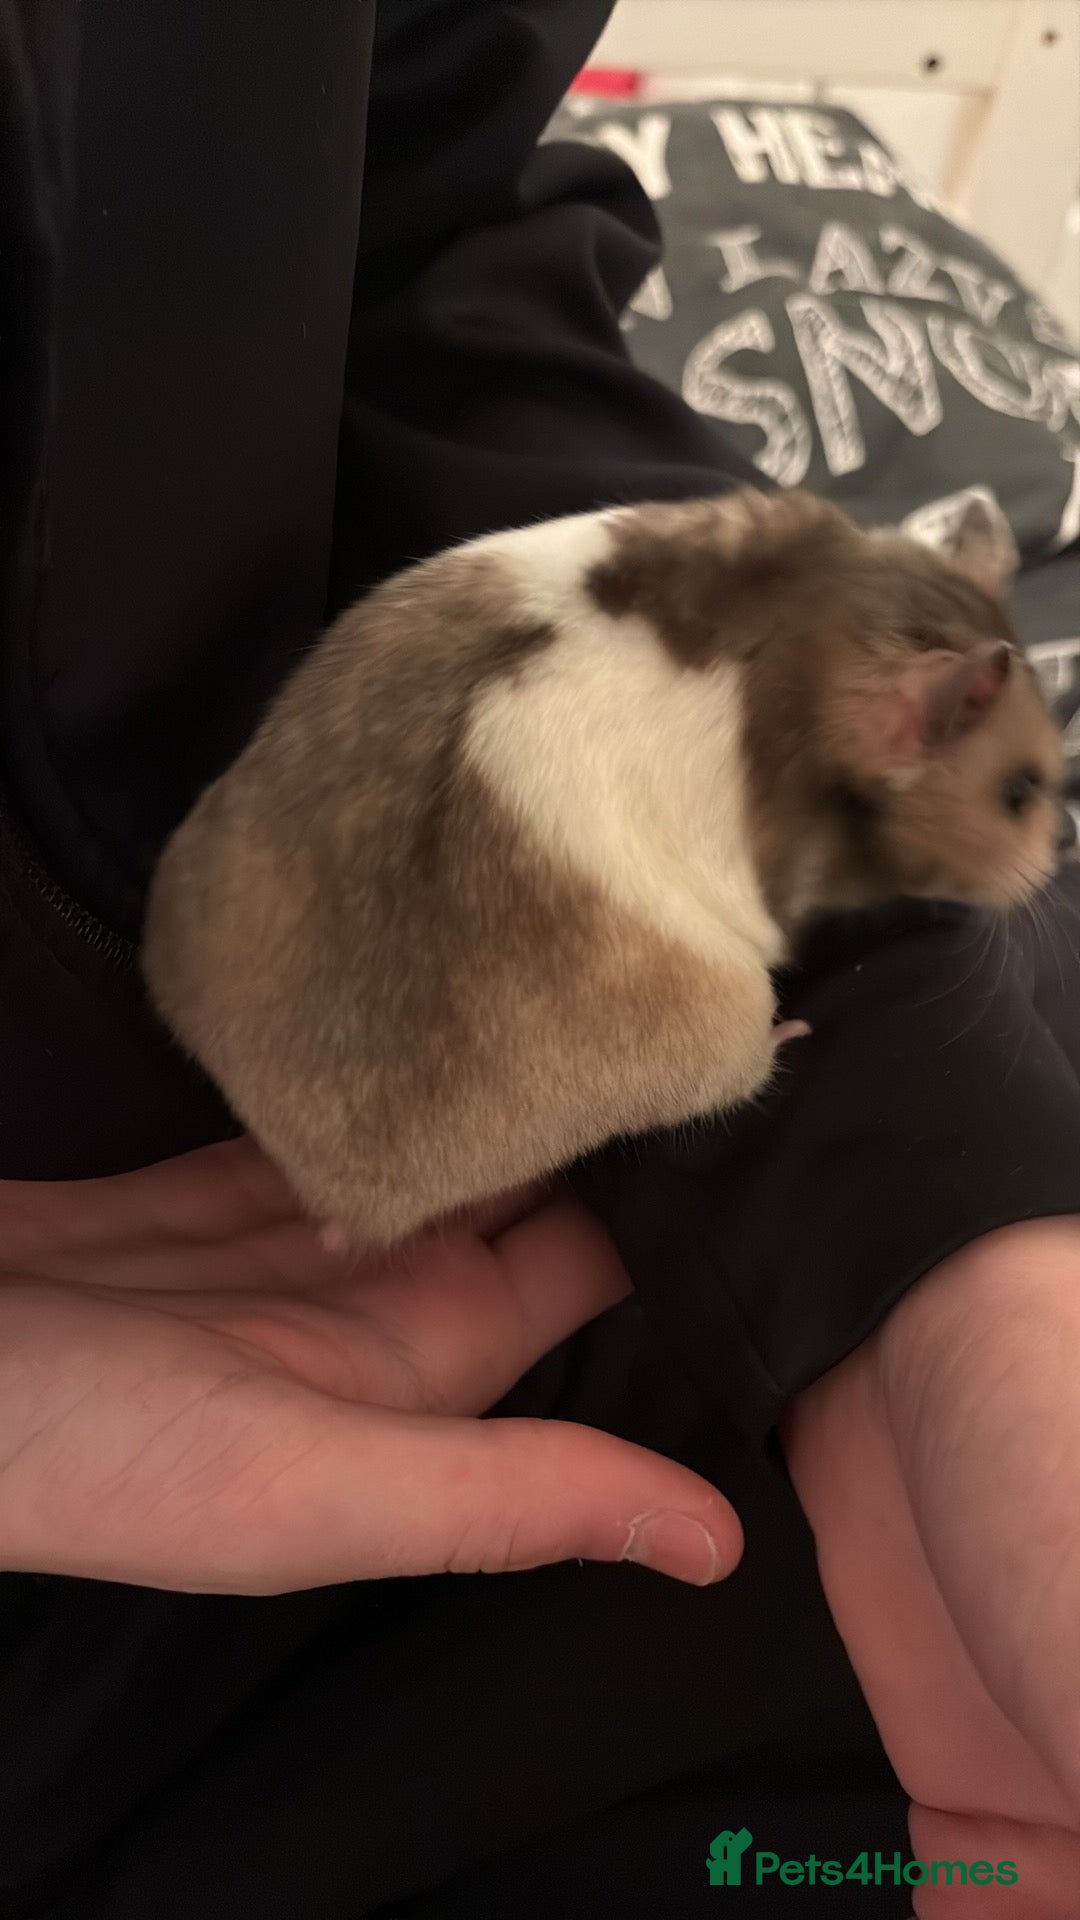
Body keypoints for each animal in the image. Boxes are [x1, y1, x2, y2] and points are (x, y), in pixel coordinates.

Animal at [142, 489, 1064, 1248]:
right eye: (1021, 791)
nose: (1052, 871)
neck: (843, 615)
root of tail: (328, 1190)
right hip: (720, 1018)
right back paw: (791, 1032)